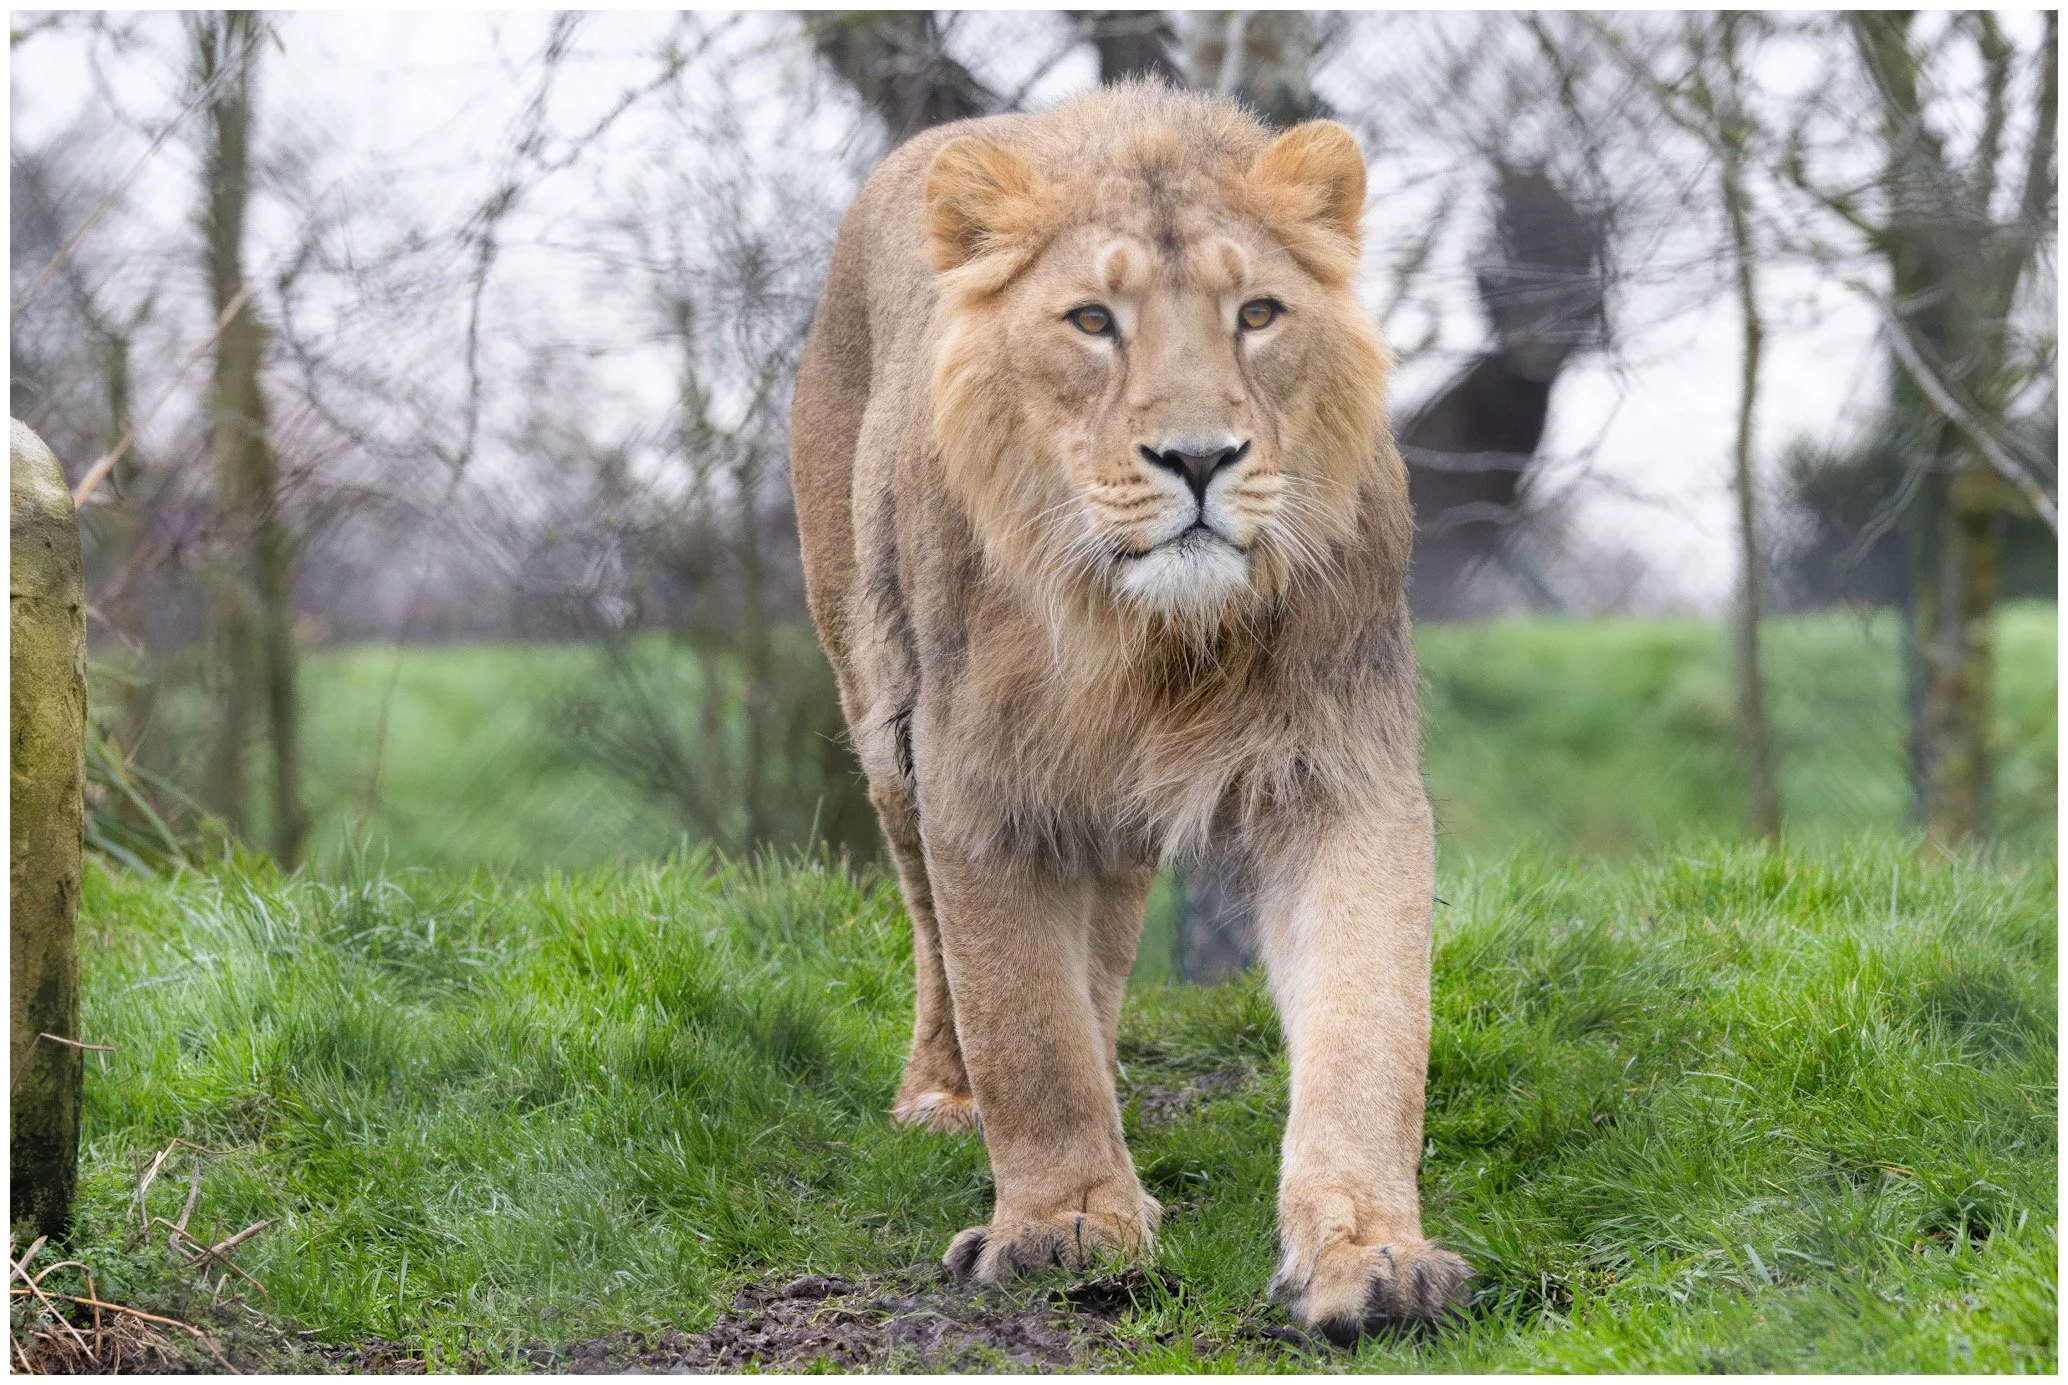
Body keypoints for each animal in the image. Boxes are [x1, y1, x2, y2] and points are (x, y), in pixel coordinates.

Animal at [789, 82, 1471, 1342]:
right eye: (1092, 320)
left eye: (1257, 312)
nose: (1198, 458)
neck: (1150, 647)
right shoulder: (978, 777)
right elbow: (1020, 1017)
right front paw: (1061, 1222)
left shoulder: (1339, 771)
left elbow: (1368, 1023)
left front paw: (1371, 1252)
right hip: (880, 718)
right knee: (935, 937)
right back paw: (947, 1095)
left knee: (1098, 952)